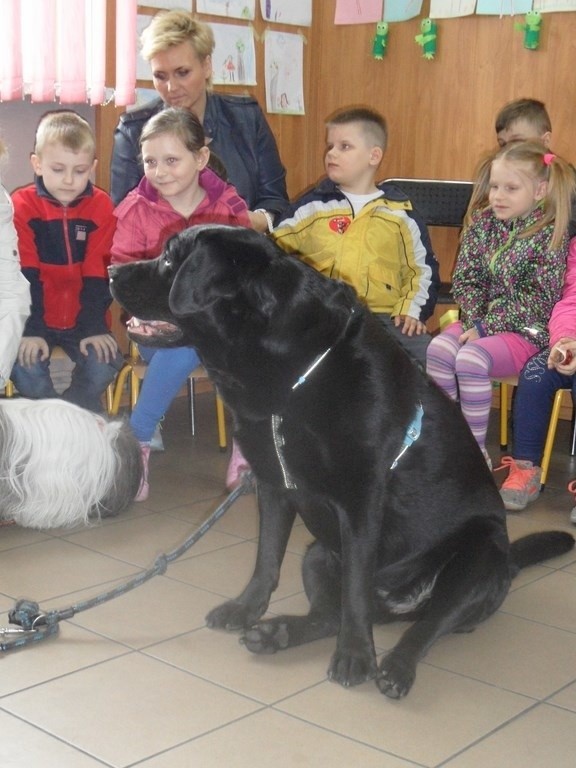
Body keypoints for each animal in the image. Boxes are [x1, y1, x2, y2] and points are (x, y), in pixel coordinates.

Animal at [110, 225, 572, 700]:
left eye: (169, 259)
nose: (111, 270)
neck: (291, 377)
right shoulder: (273, 485)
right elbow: (266, 560)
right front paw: (247, 609)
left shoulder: (360, 500)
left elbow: (355, 591)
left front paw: (355, 657)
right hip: (318, 554)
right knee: (329, 615)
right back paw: (276, 633)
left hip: (478, 555)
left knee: (427, 625)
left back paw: (395, 666)